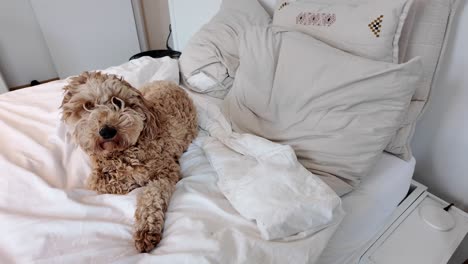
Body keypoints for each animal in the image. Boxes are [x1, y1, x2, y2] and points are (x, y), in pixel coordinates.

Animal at [59, 71, 197, 252]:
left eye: (117, 101)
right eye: (88, 105)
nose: (107, 131)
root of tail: (170, 83)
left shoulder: (167, 169)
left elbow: (152, 194)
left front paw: (146, 228)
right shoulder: (95, 178)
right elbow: (105, 182)